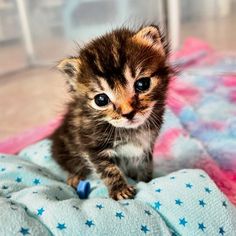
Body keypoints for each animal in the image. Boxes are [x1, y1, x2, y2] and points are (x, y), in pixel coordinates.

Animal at [51, 25, 170, 199]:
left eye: (142, 84)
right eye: (101, 100)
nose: (128, 113)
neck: (131, 132)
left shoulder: (147, 144)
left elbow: (145, 165)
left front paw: (147, 181)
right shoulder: (92, 146)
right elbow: (108, 169)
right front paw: (121, 190)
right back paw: (75, 176)